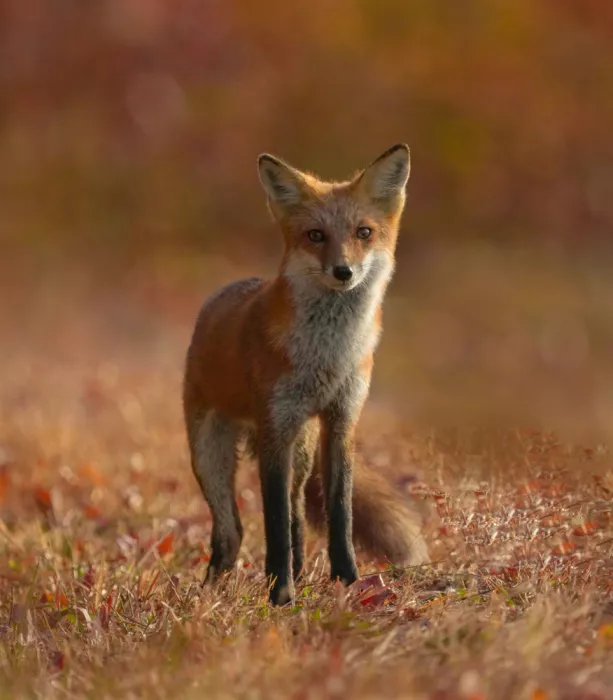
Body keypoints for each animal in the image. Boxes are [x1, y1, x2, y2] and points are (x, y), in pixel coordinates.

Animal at [183, 144, 429, 606]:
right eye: (316, 235)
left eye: (363, 232)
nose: (343, 272)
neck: (327, 358)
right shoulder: (275, 429)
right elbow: (275, 525)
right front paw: (281, 596)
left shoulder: (341, 423)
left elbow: (339, 517)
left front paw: (348, 582)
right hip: (210, 456)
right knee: (231, 532)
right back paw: (213, 592)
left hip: (301, 451)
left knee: (297, 514)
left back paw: (295, 571)